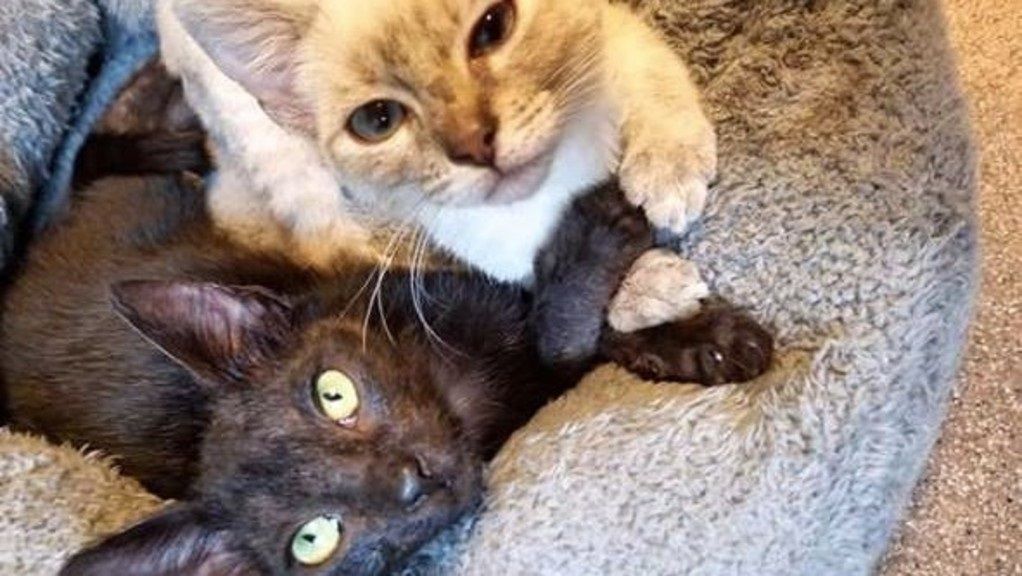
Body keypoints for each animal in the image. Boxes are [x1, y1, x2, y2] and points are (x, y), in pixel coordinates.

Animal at [2, 173, 770, 574]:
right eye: (316, 538)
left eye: (332, 392)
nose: (410, 480)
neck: (466, 396)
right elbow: (561, 339)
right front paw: (608, 243)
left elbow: (556, 317)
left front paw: (705, 340)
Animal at [156, 0, 717, 313]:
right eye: (377, 120)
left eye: (493, 27)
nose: (474, 145)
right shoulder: (490, 247)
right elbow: (545, 270)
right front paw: (647, 287)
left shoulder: (610, 37)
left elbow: (652, 77)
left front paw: (668, 170)